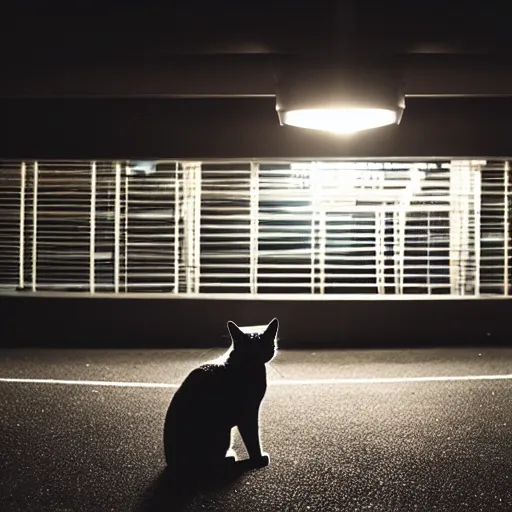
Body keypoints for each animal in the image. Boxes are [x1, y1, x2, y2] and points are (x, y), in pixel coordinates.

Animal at [162, 316, 278, 480]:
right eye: (248, 350)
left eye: (262, 346)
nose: (255, 356)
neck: (249, 367)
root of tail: (172, 466)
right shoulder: (248, 413)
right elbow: (253, 437)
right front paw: (258, 459)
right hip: (222, 433)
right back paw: (229, 458)